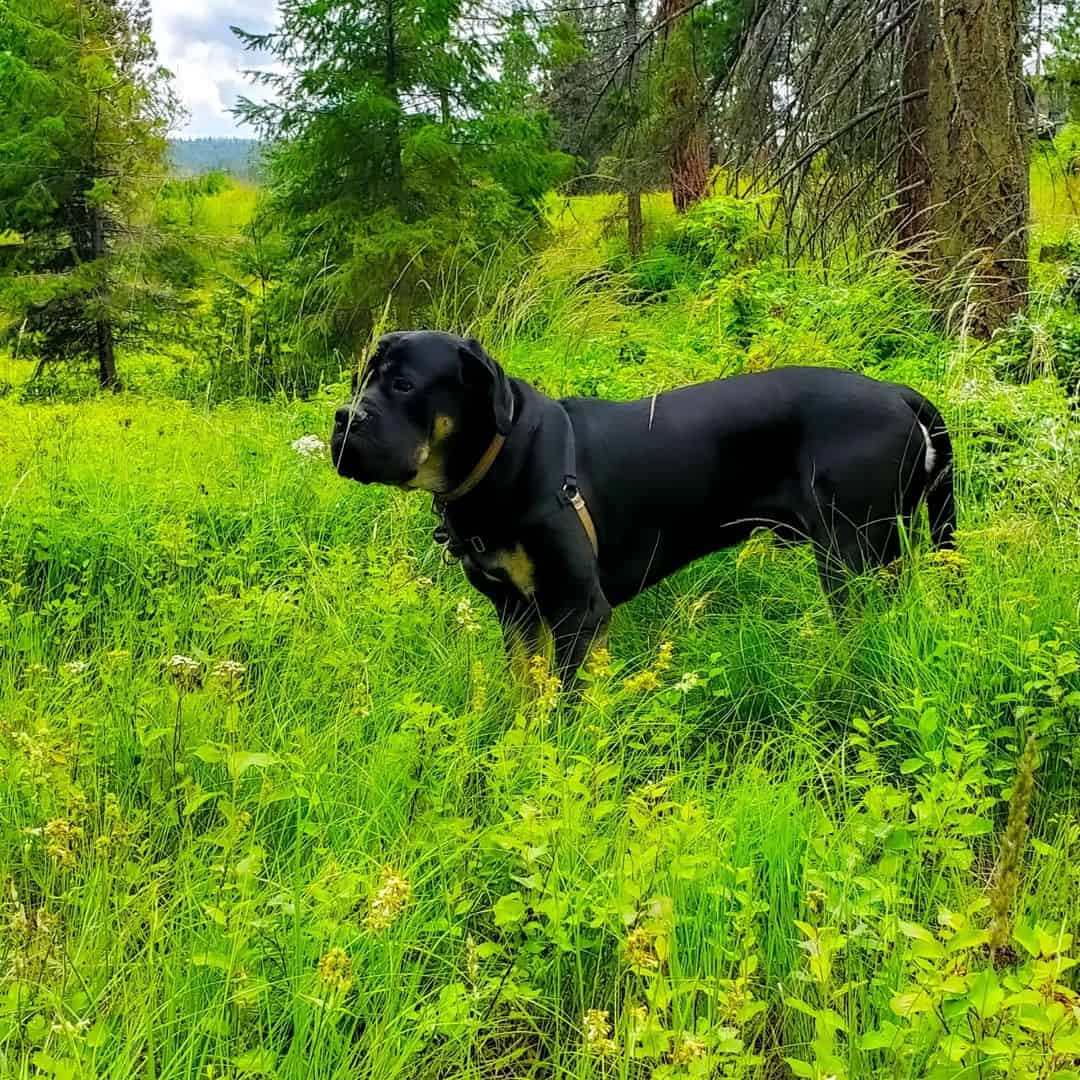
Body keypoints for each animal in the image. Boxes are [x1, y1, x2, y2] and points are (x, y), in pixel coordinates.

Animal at [330, 332, 954, 678]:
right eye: (362, 380)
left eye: (404, 385)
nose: (342, 419)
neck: (499, 461)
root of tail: (899, 394)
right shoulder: (517, 613)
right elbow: (525, 696)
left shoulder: (578, 612)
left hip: (851, 556)